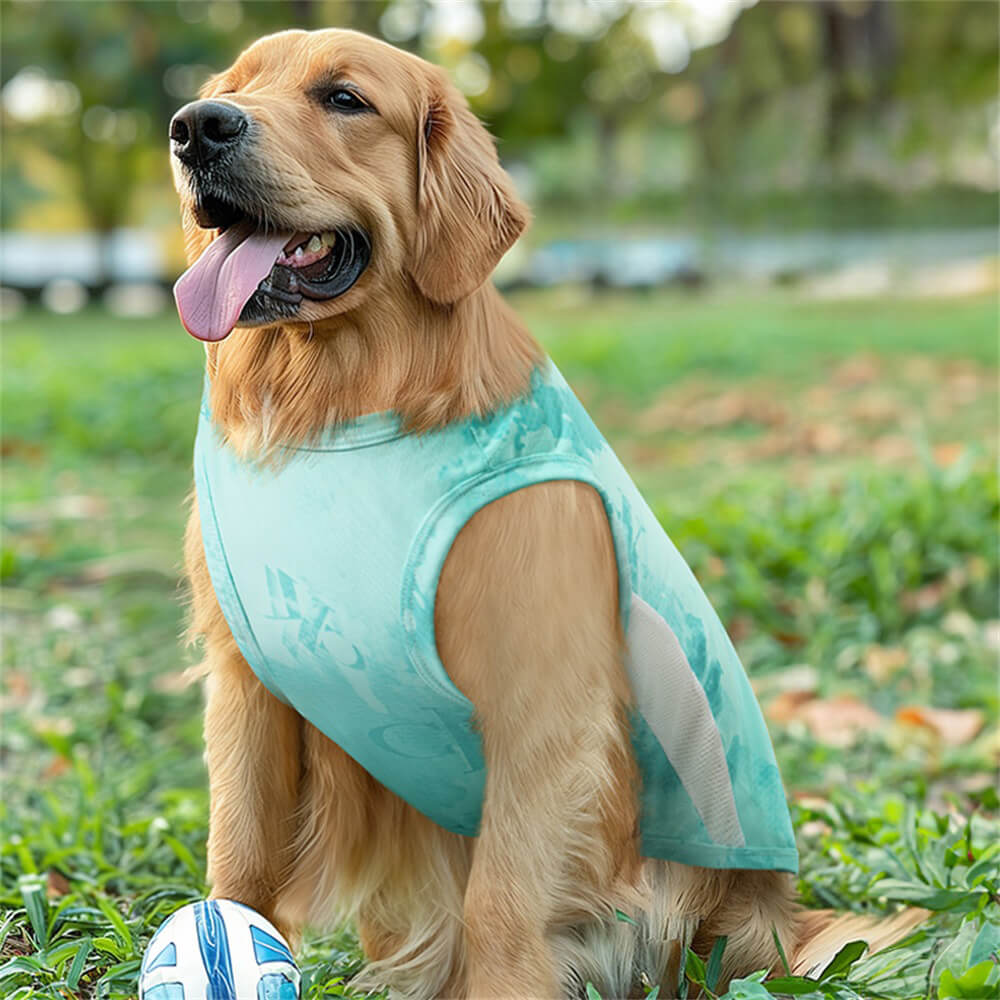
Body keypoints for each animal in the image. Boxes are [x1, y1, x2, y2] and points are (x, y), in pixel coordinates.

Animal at [170, 27, 920, 996]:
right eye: (231, 86)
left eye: (343, 98)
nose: (196, 127)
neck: (342, 410)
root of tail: (785, 921)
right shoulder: (248, 683)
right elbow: (240, 863)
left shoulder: (543, 695)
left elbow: (501, 900)